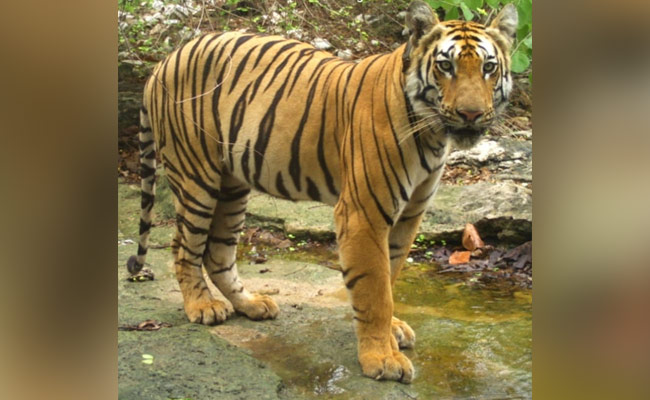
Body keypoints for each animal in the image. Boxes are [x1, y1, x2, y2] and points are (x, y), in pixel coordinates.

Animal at [127, 1, 518, 383]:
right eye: (445, 66)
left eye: (488, 68)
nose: (471, 114)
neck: (432, 133)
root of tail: (164, 61)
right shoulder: (363, 213)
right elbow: (375, 289)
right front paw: (382, 358)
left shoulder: (409, 215)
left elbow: (390, 276)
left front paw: (391, 333)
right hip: (197, 178)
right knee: (184, 247)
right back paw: (203, 306)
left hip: (232, 185)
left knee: (218, 253)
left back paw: (252, 304)